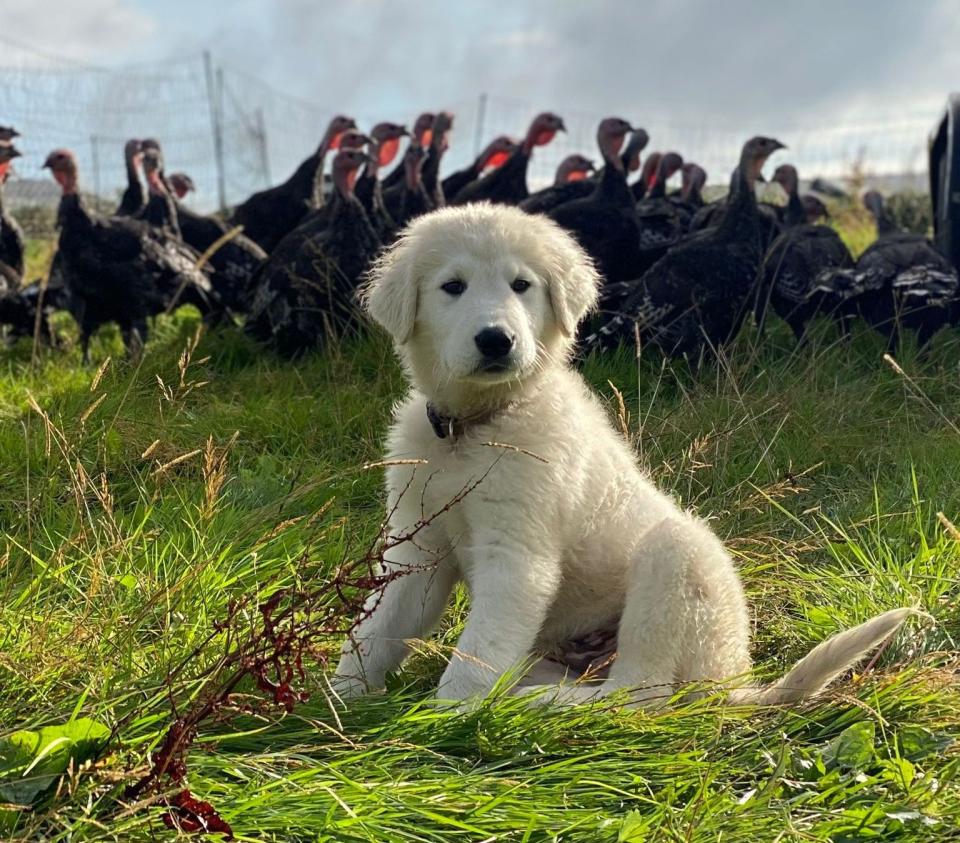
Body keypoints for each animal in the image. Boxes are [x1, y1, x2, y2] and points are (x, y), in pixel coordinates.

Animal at [336, 203, 908, 704]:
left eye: (521, 285)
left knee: (642, 694)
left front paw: (449, 715)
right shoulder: (418, 547)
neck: (474, 429)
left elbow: (478, 652)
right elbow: (376, 627)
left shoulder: (517, 552)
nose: (497, 340)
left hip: (675, 560)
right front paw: (339, 702)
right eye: (452, 287)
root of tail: (732, 680)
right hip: (547, 652)